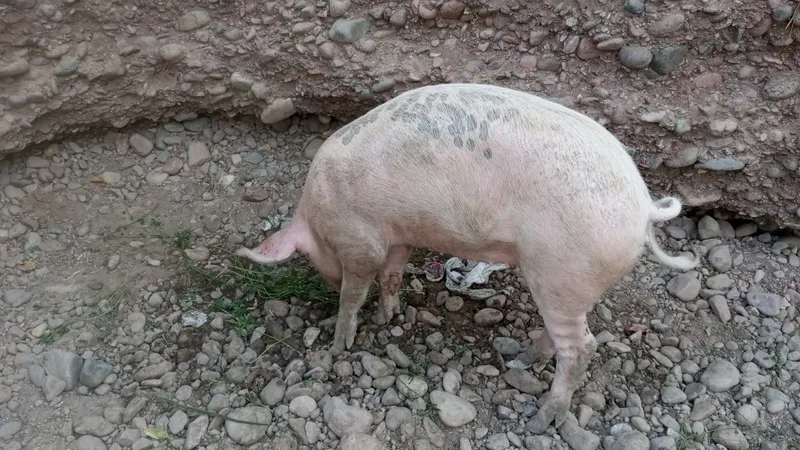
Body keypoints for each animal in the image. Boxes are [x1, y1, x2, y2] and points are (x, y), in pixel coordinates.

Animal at [236, 83, 700, 433]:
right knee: (564, 336)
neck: (317, 212)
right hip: (562, 282)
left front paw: (338, 344)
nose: (327, 282)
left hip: (561, 270)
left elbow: (356, 291)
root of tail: (645, 207)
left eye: (316, 258)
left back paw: (540, 420)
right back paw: (520, 357)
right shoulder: (399, 235)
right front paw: (388, 317)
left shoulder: (359, 238)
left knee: (582, 347)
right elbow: (392, 275)